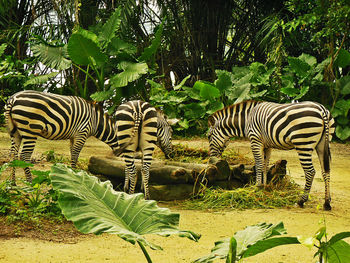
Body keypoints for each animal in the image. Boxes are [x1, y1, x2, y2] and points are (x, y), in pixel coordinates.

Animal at [208, 100, 336, 211]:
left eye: (208, 137)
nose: (211, 158)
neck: (247, 119)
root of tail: (322, 109)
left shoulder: (255, 141)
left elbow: (259, 165)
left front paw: (257, 187)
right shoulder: (267, 146)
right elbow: (265, 166)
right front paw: (265, 186)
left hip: (303, 143)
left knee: (310, 172)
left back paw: (301, 201)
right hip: (324, 144)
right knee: (326, 171)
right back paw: (327, 202)